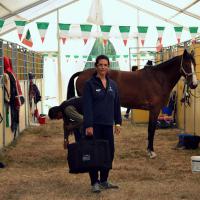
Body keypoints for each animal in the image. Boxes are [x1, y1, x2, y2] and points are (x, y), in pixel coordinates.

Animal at [67, 50, 197, 158]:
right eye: (186, 65)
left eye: (194, 64)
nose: (194, 84)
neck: (158, 78)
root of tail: (82, 73)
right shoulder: (154, 110)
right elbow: (151, 130)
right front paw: (151, 152)